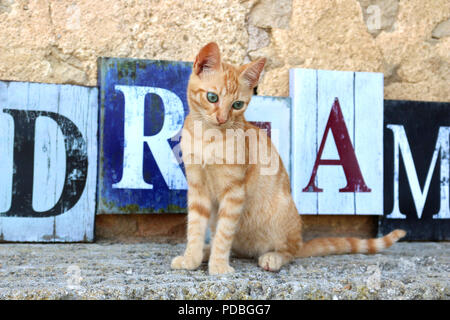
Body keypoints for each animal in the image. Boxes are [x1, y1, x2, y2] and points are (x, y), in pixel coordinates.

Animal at [171, 42, 404, 276]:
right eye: (212, 98)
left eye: (237, 105)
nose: (222, 119)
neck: (207, 137)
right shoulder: (197, 188)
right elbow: (195, 227)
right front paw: (191, 257)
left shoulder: (234, 191)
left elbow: (225, 232)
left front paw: (218, 264)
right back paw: (206, 252)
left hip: (282, 217)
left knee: (289, 251)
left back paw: (272, 257)